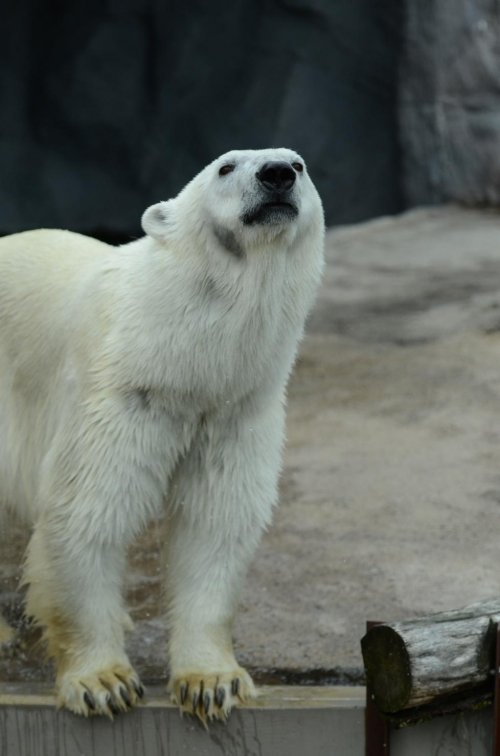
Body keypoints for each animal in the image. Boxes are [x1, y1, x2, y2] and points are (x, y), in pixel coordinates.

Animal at [0, 148, 324, 720]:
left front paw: (212, 681)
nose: (277, 175)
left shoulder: (236, 408)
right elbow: (85, 514)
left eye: (300, 164)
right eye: (226, 166)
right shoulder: (122, 391)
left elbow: (214, 523)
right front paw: (103, 682)